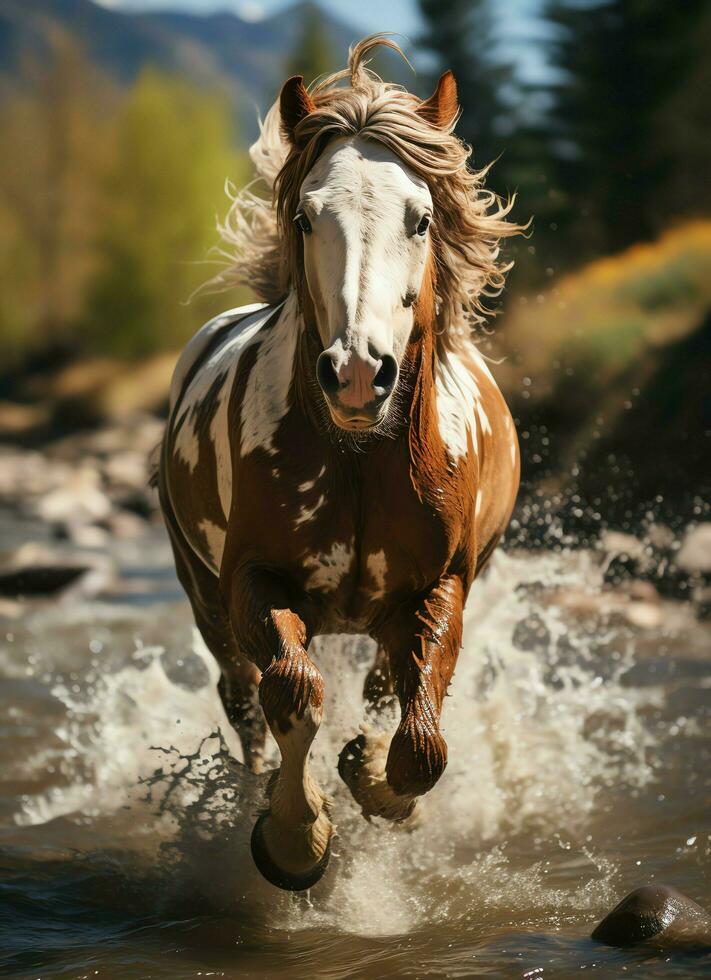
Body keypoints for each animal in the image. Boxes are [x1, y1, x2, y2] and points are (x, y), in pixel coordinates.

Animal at [159, 38, 520, 892]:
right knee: (245, 698)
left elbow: (420, 743)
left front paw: (378, 786)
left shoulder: (438, 588)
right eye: (304, 214)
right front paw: (295, 837)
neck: (359, 462)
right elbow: (293, 693)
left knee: (385, 695)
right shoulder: (253, 581)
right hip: (203, 594)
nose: (357, 373)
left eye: (420, 218)